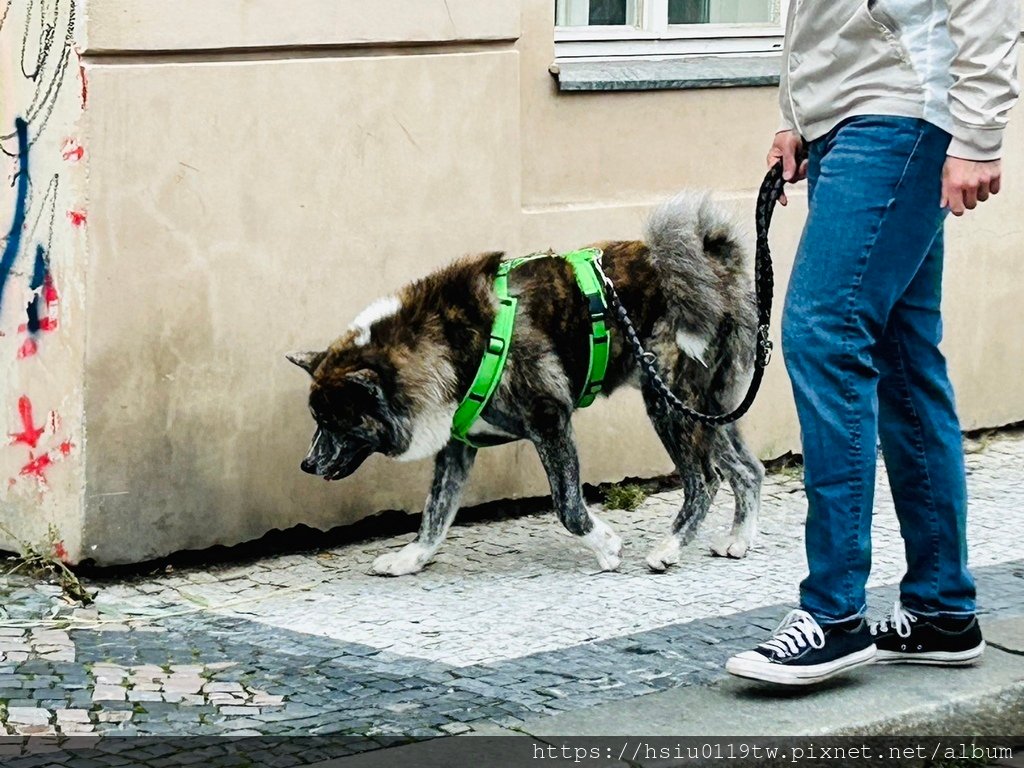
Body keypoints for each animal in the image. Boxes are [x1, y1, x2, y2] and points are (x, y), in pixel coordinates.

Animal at [286, 192, 761, 577]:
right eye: (317, 419)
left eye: (335, 421)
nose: (306, 465)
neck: (447, 342)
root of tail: (715, 265)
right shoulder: (457, 447)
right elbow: (434, 515)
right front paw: (411, 558)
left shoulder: (551, 422)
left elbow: (567, 505)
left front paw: (606, 546)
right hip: (706, 410)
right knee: (747, 470)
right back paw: (739, 539)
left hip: (669, 404)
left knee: (705, 480)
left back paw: (670, 547)